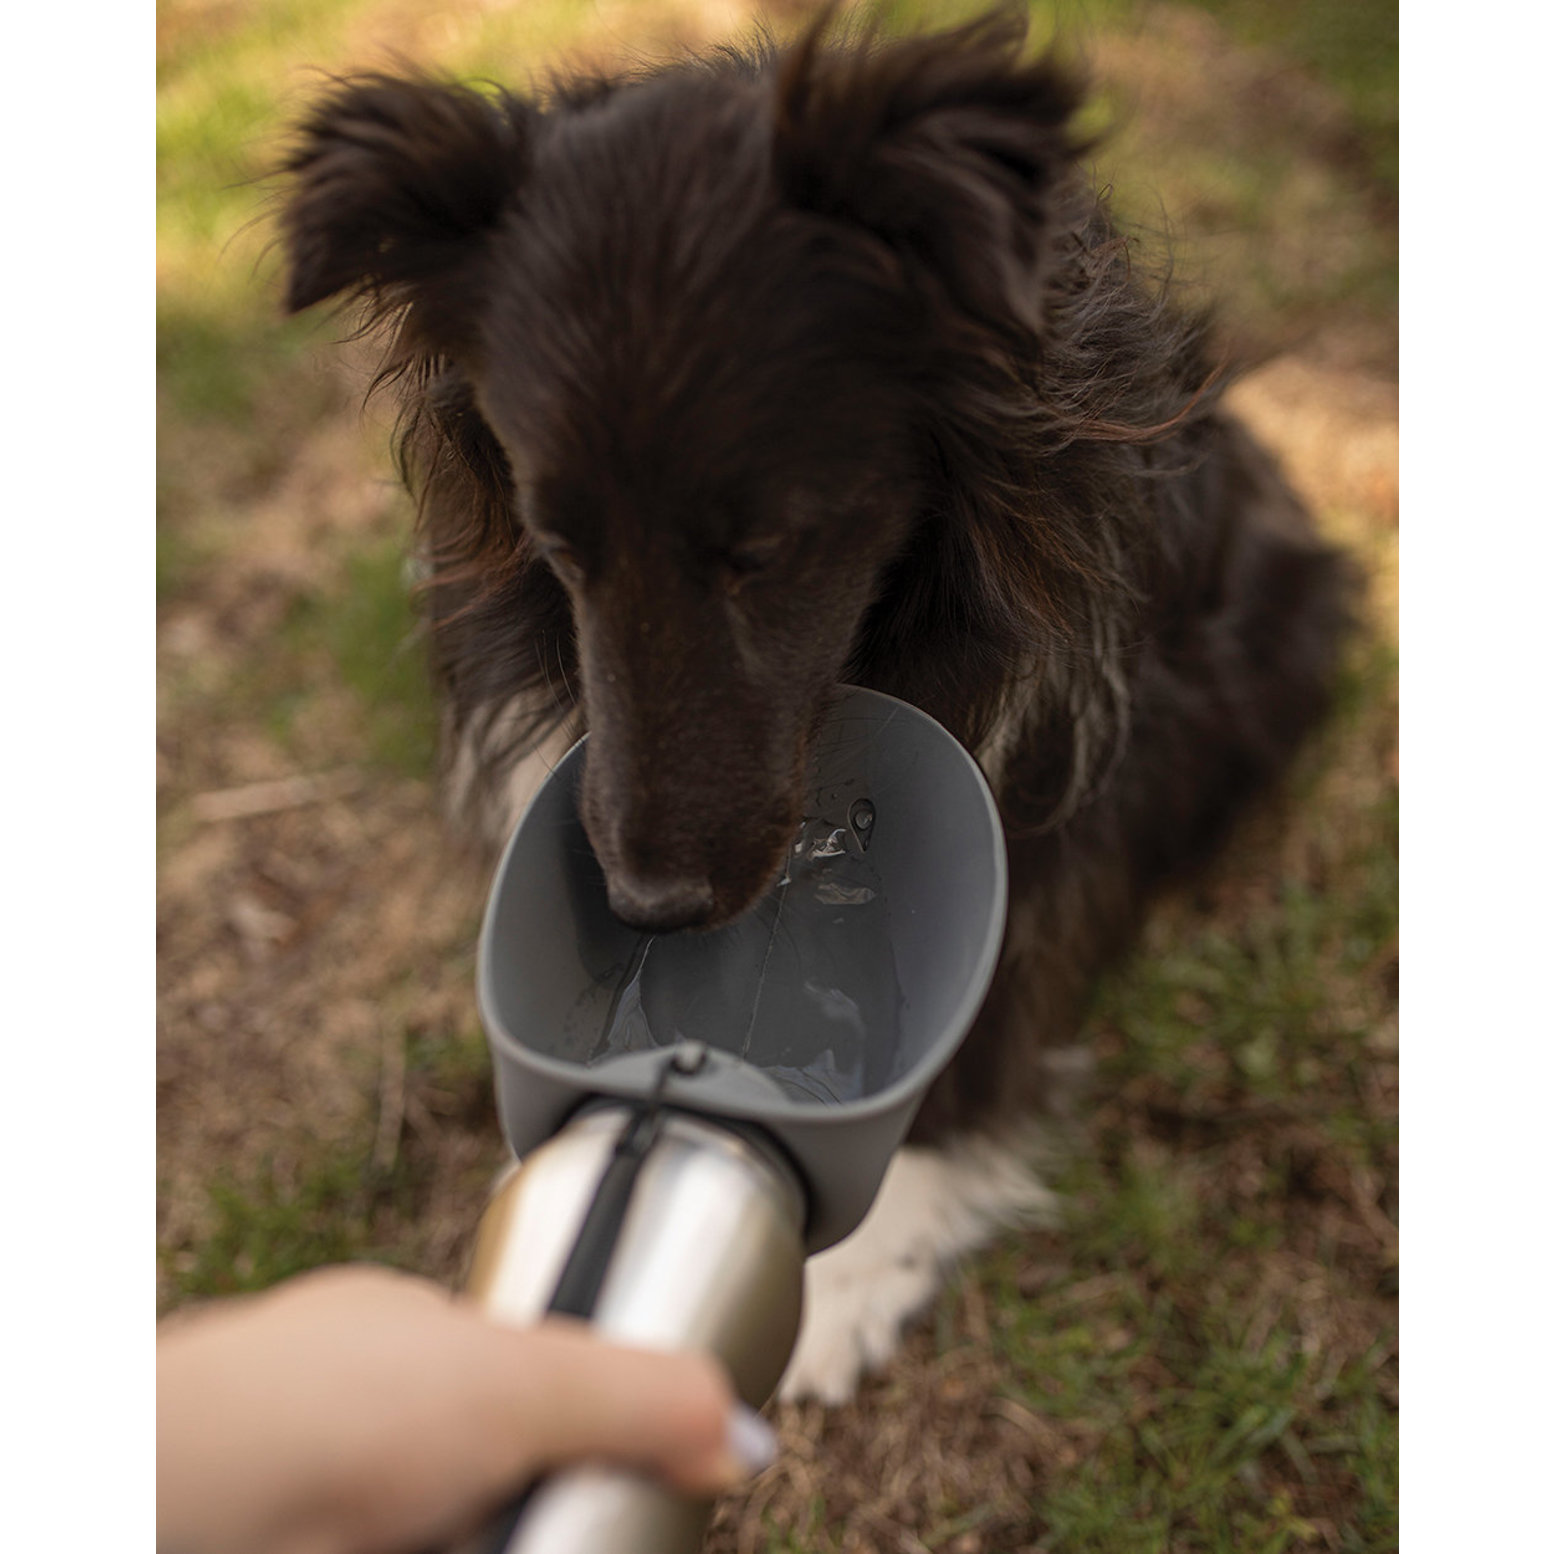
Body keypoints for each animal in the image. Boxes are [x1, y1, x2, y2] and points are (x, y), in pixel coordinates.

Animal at [285, 6, 1355, 1404]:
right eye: (556, 542)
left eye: (767, 548)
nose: (651, 907)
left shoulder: (1062, 755)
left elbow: (998, 980)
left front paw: (853, 1266)